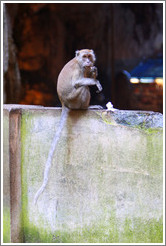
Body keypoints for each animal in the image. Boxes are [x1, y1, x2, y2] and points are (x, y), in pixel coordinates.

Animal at [34, 49, 102, 205]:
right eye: (84, 56)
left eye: (89, 56)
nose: (88, 61)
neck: (79, 62)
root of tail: (64, 102)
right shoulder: (79, 70)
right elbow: (77, 82)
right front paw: (95, 81)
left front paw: (94, 71)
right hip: (74, 99)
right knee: (82, 87)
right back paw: (86, 107)